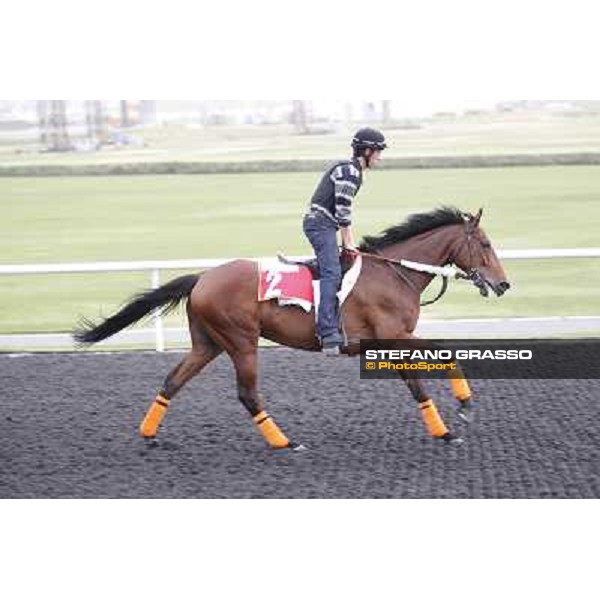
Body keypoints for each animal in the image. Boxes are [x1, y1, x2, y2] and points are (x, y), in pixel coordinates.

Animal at [72, 206, 508, 450]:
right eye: (486, 244)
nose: (503, 284)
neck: (394, 273)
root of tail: (202, 278)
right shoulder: (389, 337)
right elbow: (418, 384)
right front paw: (446, 431)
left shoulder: (397, 337)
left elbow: (443, 354)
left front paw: (465, 405)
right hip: (242, 342)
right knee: (247, 394)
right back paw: (285, 442)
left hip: (208, 344)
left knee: (172, 381)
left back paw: (150, 435)